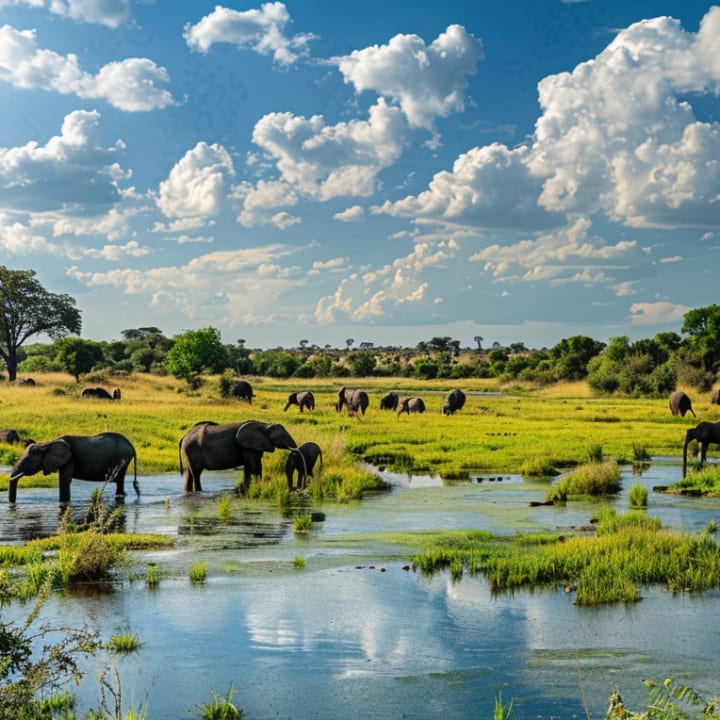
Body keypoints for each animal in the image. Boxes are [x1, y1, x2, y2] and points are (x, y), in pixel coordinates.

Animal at [8, 430, 139, 504]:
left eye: (29, 461)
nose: (12, 505)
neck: (47, 444)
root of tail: (131, 446)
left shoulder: (70, 459)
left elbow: (64, 481)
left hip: (123, 458)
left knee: (119, 479)